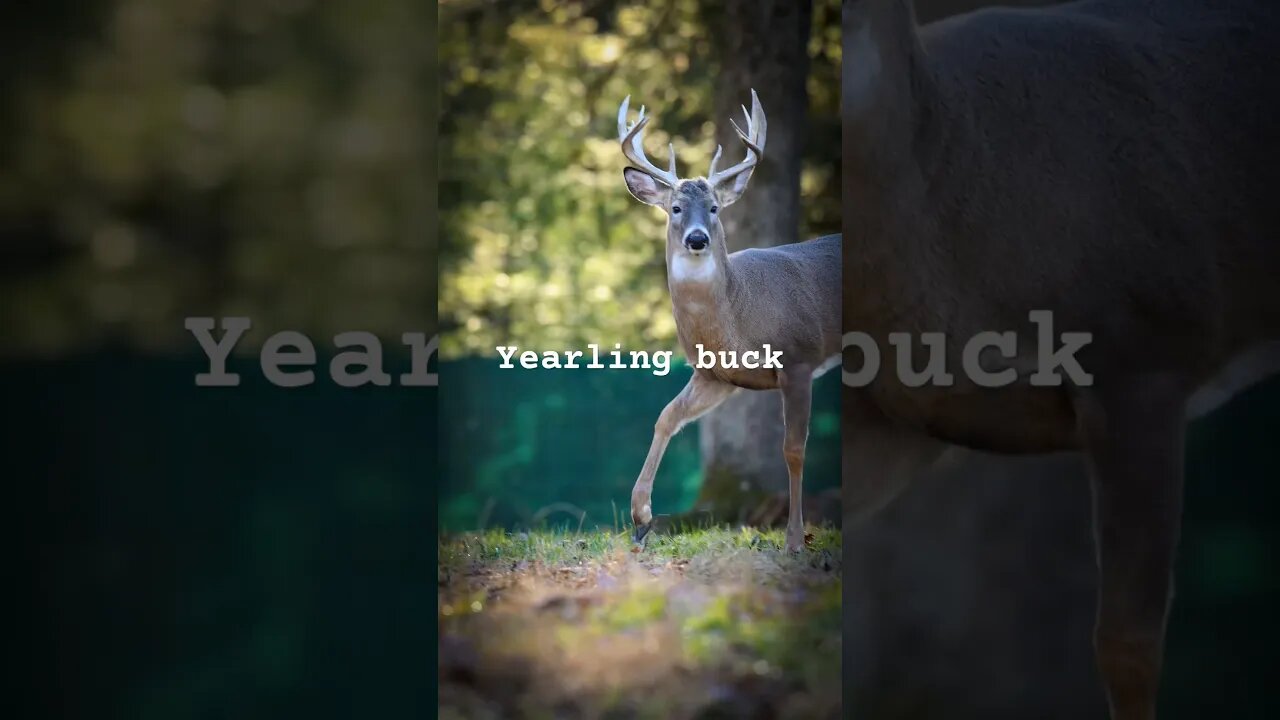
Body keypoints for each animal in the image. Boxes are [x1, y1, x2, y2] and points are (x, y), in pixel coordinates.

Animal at [616, 89, 839, 548]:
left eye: (715, 208)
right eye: (675, 208)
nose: (698, 238)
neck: (738, 316)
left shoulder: (799, 358)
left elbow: (794, 448)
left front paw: (794, 539)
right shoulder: (718, 375)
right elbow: (666, 416)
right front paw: (640, 516)